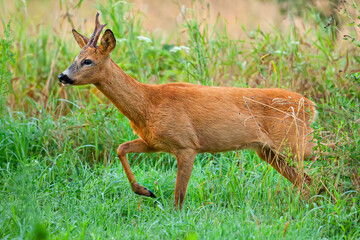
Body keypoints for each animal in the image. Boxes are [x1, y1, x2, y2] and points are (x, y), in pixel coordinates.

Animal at [59, 14, 318, 211]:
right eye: (75, 58)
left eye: (88, 61)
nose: (63, 76)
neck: (147, 104)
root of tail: (310, 105)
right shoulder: (154, 142)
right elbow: (121, 148)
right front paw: (145, 191)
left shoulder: (186, 144)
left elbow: (179, 195)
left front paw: (175, 218)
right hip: (269, 151)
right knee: (305, 181)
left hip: (293, 142)